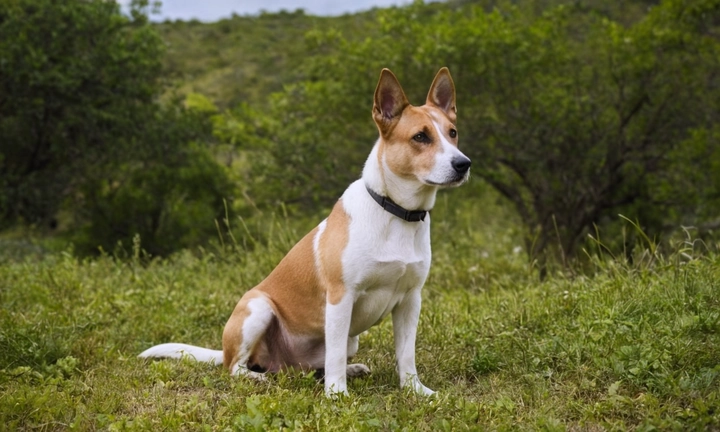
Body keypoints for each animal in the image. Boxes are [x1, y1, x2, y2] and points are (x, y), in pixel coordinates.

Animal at [139, 67, 472, 394]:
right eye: (420, 137)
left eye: (452, 133)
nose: (463, 164)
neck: (394, 212)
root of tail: (280, 364)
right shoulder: (340, 298)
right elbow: (335, 354)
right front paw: (337, 395)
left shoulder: (410, 300)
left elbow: (406, 353)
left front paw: (416, 390)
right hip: (258, 309)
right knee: (236, 368)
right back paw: (261, 378)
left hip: (348, 340)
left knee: (314, 367)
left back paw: (348, 370)